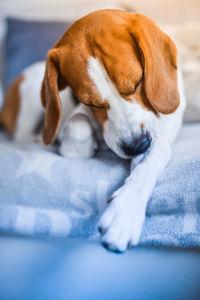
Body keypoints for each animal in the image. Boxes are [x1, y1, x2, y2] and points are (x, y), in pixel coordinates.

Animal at [0, 9, 186, 252]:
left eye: (137, 83)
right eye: (91, 103)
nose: (136, 145)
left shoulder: (159, 136)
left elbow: (149, 163)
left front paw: (125, 212)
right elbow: (78, 122)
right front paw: (77, 147)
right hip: (29, 101)